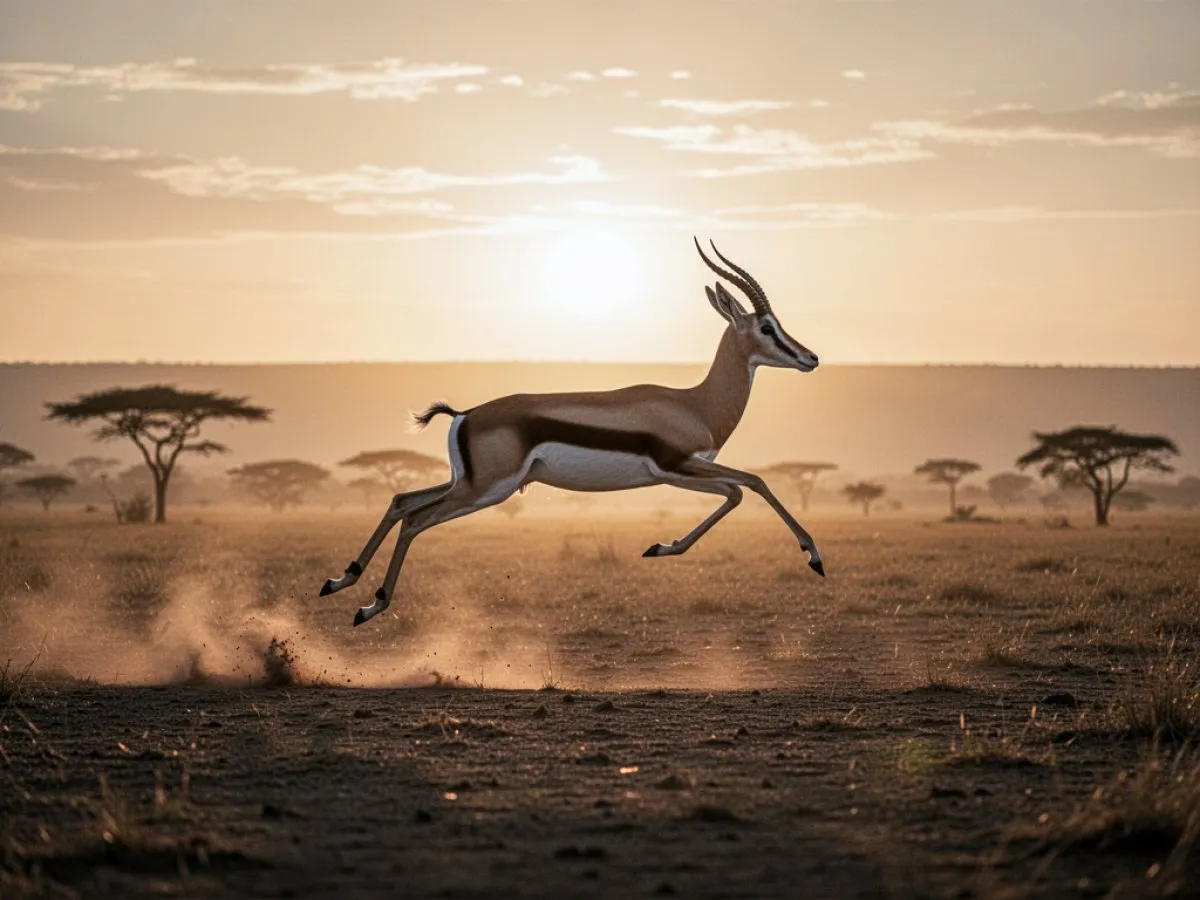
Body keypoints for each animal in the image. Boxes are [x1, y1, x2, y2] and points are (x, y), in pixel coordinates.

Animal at [321, 238, 824, 627]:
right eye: (766, 327)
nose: (811, 358)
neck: (695, 404)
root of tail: (465, 414)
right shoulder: (678, 467)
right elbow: (753, 483)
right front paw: (814, 557)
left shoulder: (679, 473)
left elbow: (737, 492)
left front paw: (659, 547)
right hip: (486, 489)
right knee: (415, 520)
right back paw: (370, 607)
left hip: (466, 483)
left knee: (400, 500)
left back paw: (339, 580)